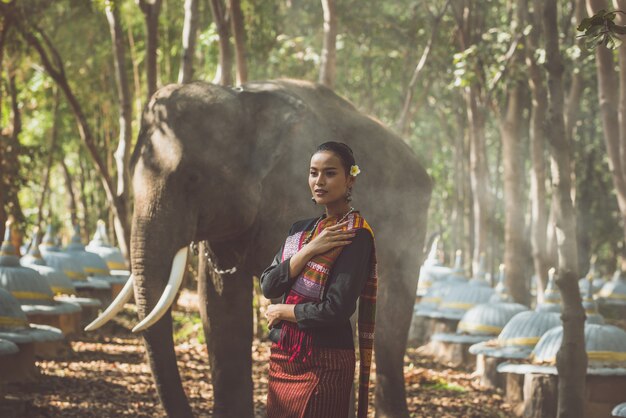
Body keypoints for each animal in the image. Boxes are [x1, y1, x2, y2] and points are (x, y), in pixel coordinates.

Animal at [88, 79, 428, 418]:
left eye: (193, 178)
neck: (243, 101)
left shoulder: (290, 186)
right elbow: (218, 304)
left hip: (411, 223)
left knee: (389, 324)